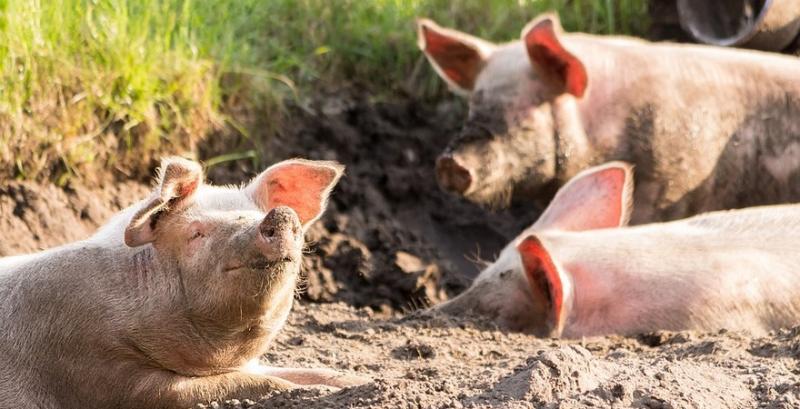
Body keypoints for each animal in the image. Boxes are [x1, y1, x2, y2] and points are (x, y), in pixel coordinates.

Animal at [0, 157, 368, 408]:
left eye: (254, 214)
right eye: (196, 233)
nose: (279, 214)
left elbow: (306, 372)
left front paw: (362, 382)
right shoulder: (99, 370)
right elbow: (246, 384)